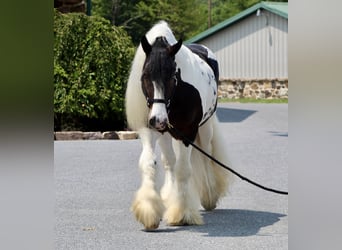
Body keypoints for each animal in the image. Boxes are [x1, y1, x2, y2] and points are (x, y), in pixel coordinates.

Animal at [124, 20, 231, 229]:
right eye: (145, 75)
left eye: (173, 76)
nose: (158, 119)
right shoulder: (149, 130)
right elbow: (149, 163)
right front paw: (149, 210)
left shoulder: (188, 132)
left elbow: (183, 170)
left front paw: (181, 213)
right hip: (166, 133)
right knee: (169, 161)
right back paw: (167, 196)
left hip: (204, 128)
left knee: (205, 155)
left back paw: (209, 195)